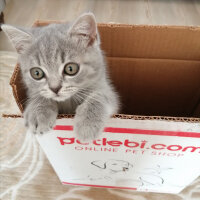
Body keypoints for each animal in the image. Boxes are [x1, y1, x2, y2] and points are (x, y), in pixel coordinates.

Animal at [1, 13, 119, 141]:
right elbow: (40, 94)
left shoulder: (106, 89)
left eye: (70, 69)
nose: (55, 88)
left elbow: (100, 96)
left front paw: (87, 125)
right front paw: (38, 112)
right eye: (37, 73)